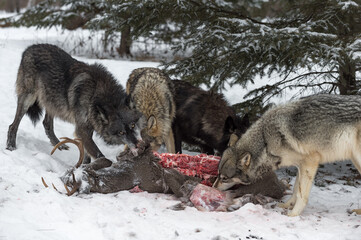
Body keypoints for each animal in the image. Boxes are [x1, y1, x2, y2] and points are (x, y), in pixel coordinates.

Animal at [6, 43, 143, 163]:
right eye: (121, 132)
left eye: (132, 125)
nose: (137, 144)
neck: (96, 94)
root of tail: (28, 49)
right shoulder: (81, 129)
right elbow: (97, 153)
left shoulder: (87, 128)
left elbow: (86, 153)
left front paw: (84, 167)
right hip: (28, 100)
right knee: (13, 126)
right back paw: (11, 146)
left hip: (52, 103)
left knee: (46, 124)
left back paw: (59, 145)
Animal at [212, 94, 360, 217]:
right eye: (218, 174)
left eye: (224, 178)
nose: (213, 187)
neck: (266, 142)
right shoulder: (300, 166)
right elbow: (295, 190)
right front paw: (286, 205)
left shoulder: (310, 163)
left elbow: (301, 195)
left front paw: (293, 215)